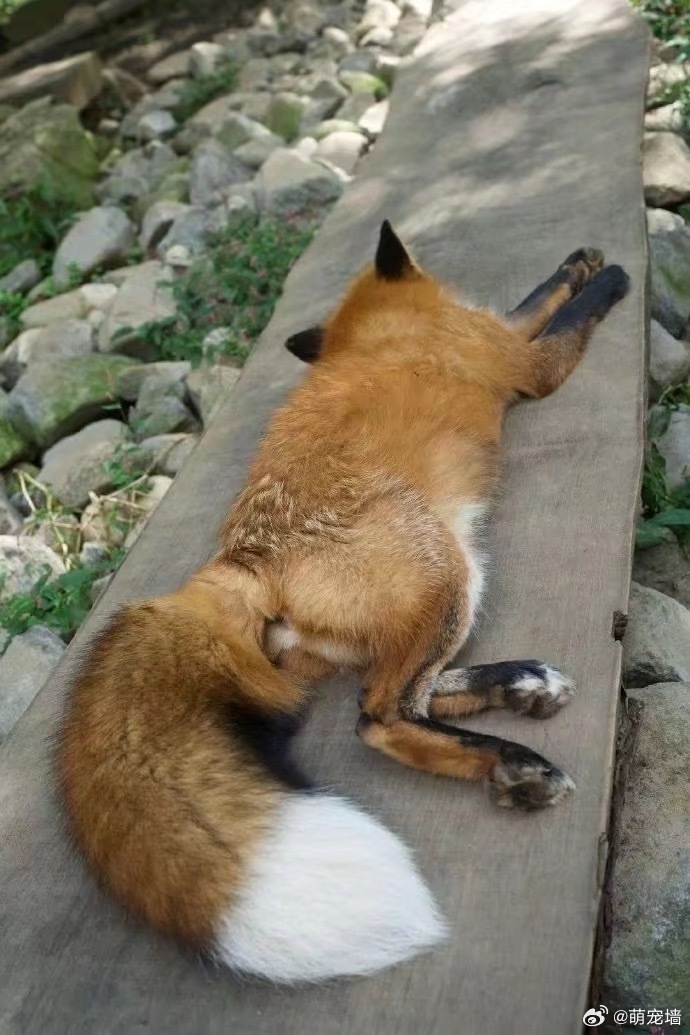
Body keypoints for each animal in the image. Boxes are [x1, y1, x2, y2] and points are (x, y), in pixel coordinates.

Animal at [58, 221, 630, 985]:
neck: (377, 330)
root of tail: (240, 562)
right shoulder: (524, 361)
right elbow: (566, 316)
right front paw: (611, 276)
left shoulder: (498, 329)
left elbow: (535, 296)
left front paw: (578, 262)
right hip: (445, 567)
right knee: (380, 717)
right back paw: (514, 764)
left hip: (452, 579)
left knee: (413, 692)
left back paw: (519, 687)